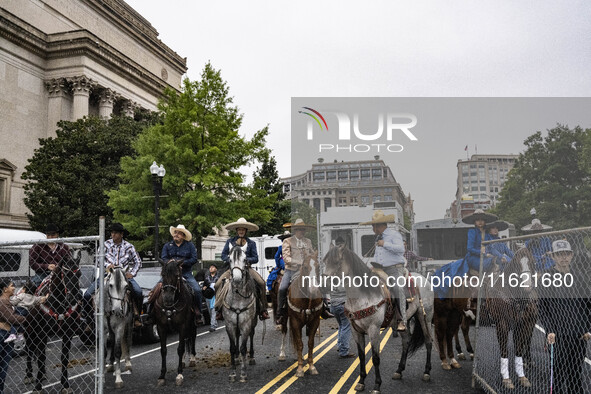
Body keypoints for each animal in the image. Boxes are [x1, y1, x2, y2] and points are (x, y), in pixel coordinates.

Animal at [223, 246, 258, 382]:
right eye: (229, 259)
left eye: (245, 259)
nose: (237, 279)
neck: (238, 297)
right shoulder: (230, 325)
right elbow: (233, 348)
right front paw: (233, 373)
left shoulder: (246, 324)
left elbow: (243, 348)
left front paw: (243, 373)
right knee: (237, 337)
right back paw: (237, 359)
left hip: (253, 323)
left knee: (251, 336)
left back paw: (251, 357)